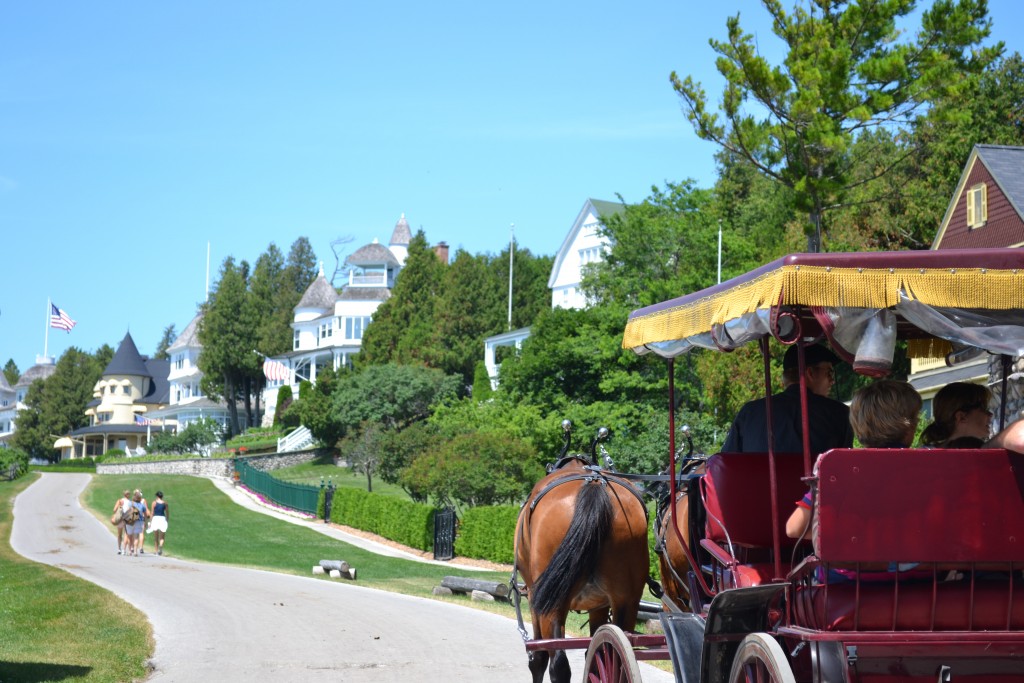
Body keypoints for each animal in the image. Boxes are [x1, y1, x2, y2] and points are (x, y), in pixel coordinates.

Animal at [516, 456, 651, 683]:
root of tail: (594, 484)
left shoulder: (535, 599)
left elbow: (538, 658)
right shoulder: (599, 606)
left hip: (551, 604)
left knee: (558, 663)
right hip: (626, 600)